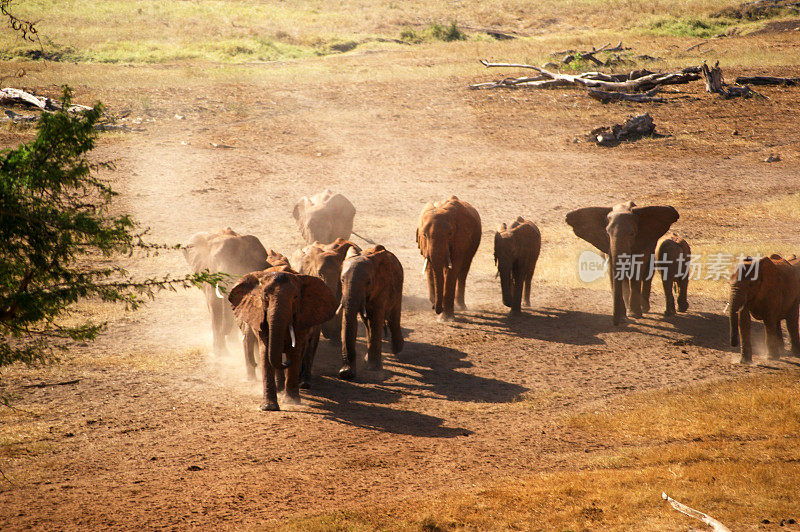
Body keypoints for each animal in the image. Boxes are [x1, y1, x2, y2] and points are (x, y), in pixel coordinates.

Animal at [228, 268, 338, 410]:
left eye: (295, 297)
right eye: (266, 296)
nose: (285, 362)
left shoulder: (302, 317)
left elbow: (295, 350)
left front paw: (292, 401)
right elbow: (266, 352)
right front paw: (269, 407)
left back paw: (302, 384)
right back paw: (280, 388)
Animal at [338, 243, 404, 380]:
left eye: (368, 282)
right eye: (342, 280)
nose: (346, 374)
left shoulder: (382, 286)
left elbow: (377, 319)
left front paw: (373, 368)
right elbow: (348, 320)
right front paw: (346, 373)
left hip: (398, 286)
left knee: (393, 318)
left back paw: (397, 350)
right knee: (367, 323)